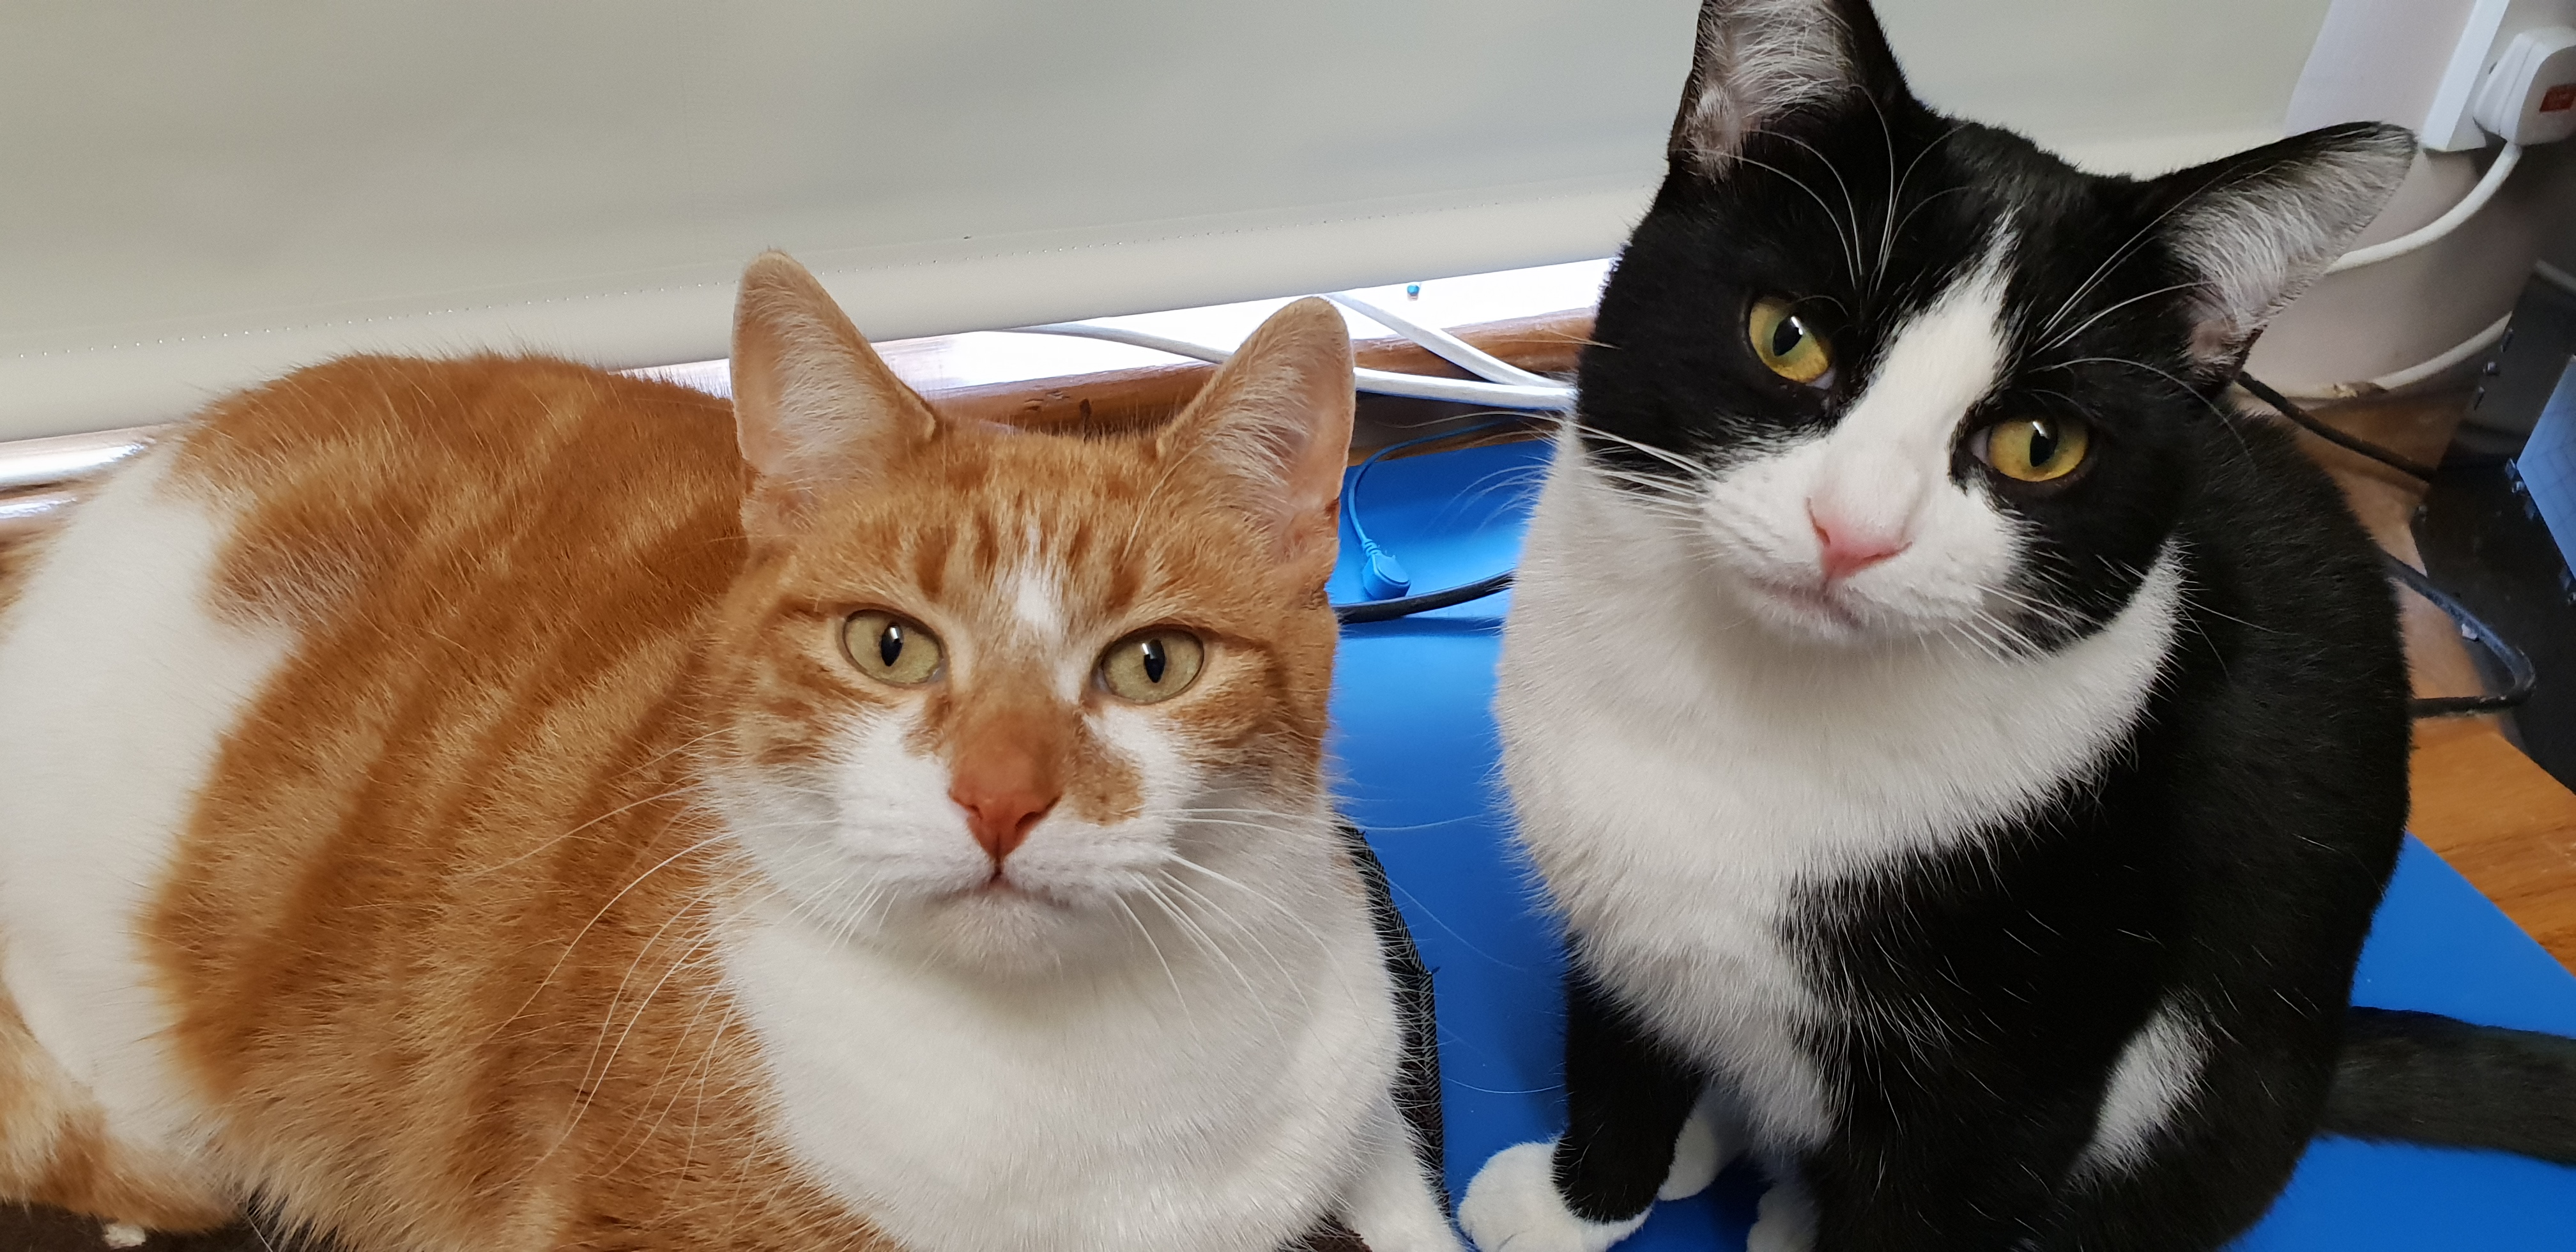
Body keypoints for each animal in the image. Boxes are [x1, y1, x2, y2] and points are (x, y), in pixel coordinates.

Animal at [1454, 2, 2576, 1250]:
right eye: (1788, 337)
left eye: (2041, 447)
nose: (1854, 529)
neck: (1752, 715)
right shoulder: (1607, 899)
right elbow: (1619, 1046)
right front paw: (1580, 1201)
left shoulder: (2022, 1069)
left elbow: (1931, 1199)